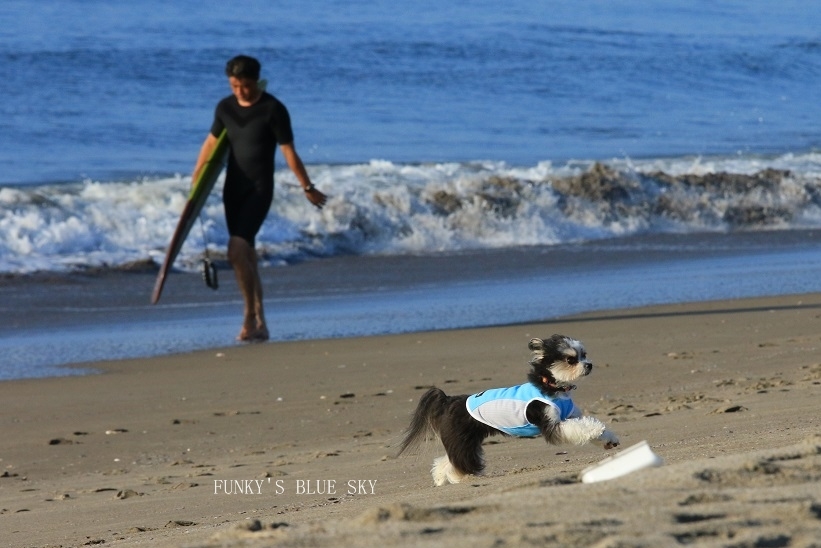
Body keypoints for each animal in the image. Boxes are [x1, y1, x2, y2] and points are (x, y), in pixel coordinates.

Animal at [396, 334, 616, 484]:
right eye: (571, 359)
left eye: (584, 355)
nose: (589, 365)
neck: (551, 386)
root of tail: (448, 400)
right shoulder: (552, 425)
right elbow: (581, 428)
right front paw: (597, 430)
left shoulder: (570, 416)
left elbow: (585, 424)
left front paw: (608, 438)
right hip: (463, 442)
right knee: (460, 462)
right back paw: (458, 478)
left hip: (464, 442)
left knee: (448, 460)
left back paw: (441, 477)